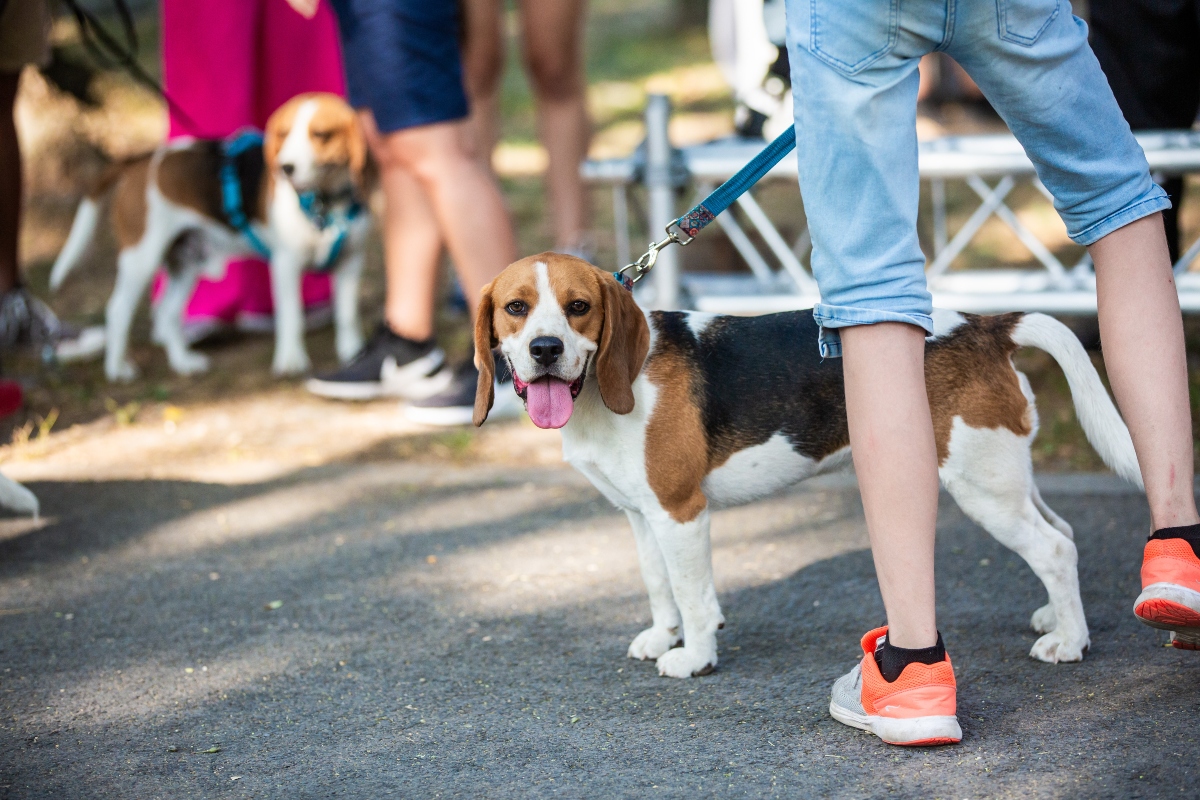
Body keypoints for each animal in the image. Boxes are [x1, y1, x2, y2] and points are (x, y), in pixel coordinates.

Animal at [49, 94, 372, 381]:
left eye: (321, 135)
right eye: (283, 134)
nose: (285, 168)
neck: (326, 204)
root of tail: (141, 160)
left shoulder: (352, 262)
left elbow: (348, 315)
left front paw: (353, 352)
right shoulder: (286, 265)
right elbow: (291, 316)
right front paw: (291, 360)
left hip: (187, 263)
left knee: (168, 313)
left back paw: (183, 362)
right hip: (141, 258)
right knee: (118, 311)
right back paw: (117, 369)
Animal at [472, 253, 1137, 681]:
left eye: (579, 307)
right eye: (516, 308)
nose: (546, 350)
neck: (600, 390)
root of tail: (988, 327)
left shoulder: (680, 512)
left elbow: (691, 592)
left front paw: (694, 655)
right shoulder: (640, 514)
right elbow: (659, 585)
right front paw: (663, 635)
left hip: (982, 488)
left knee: (1055, 548)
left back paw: (1070, 642)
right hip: (1003, 474)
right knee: (1063, 533)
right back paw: (1057, 616)